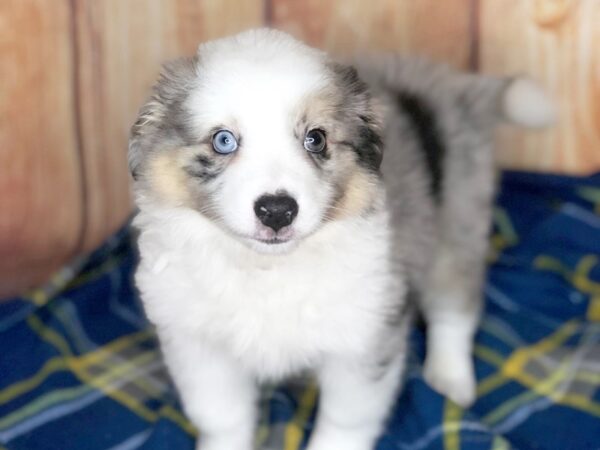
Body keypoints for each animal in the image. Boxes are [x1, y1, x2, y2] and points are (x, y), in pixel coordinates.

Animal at [129, 29, 556, 450]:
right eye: (223, 141)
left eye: (316, 139)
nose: (277, 210)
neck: (268, 268)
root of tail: (450, 83)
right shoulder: (198, 344)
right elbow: (223, 417)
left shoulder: (364, 340)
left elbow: (345, 421)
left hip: (456, 223)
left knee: (455, 308)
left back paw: (450, 378)